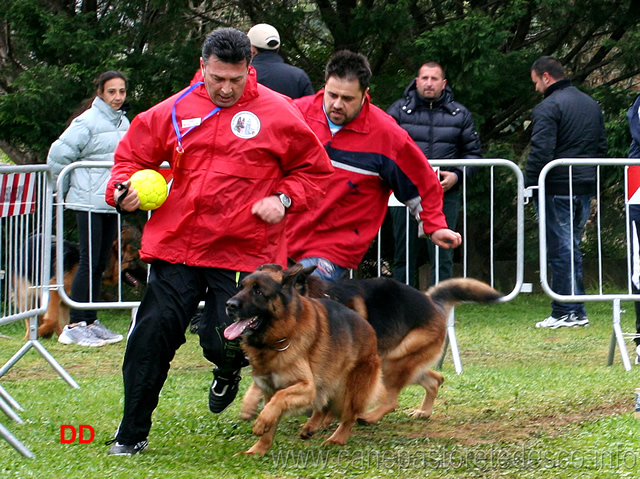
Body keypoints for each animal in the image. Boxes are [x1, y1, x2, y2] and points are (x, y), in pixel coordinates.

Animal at [225, 264, 382, 456]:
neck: (279, 336)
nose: (229, 305)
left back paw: (336, 439)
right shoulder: (270, 389)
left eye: (258, 291)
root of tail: (368, 326)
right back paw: (311, 427)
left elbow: (280, 398)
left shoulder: (305, 386)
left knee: (348, 416)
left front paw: (261, 422)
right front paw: (257, 450)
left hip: (348, 390)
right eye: (241, 288)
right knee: (323, 404)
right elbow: (271, 420)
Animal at [242, 268, 502, 426]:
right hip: (400, 362)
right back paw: (424, 411)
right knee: (435, 379)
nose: (234, 304)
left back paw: (369, 417)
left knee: (393, 400)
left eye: (260, 290)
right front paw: (250, 404)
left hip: (390, 363)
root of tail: (432, 302)